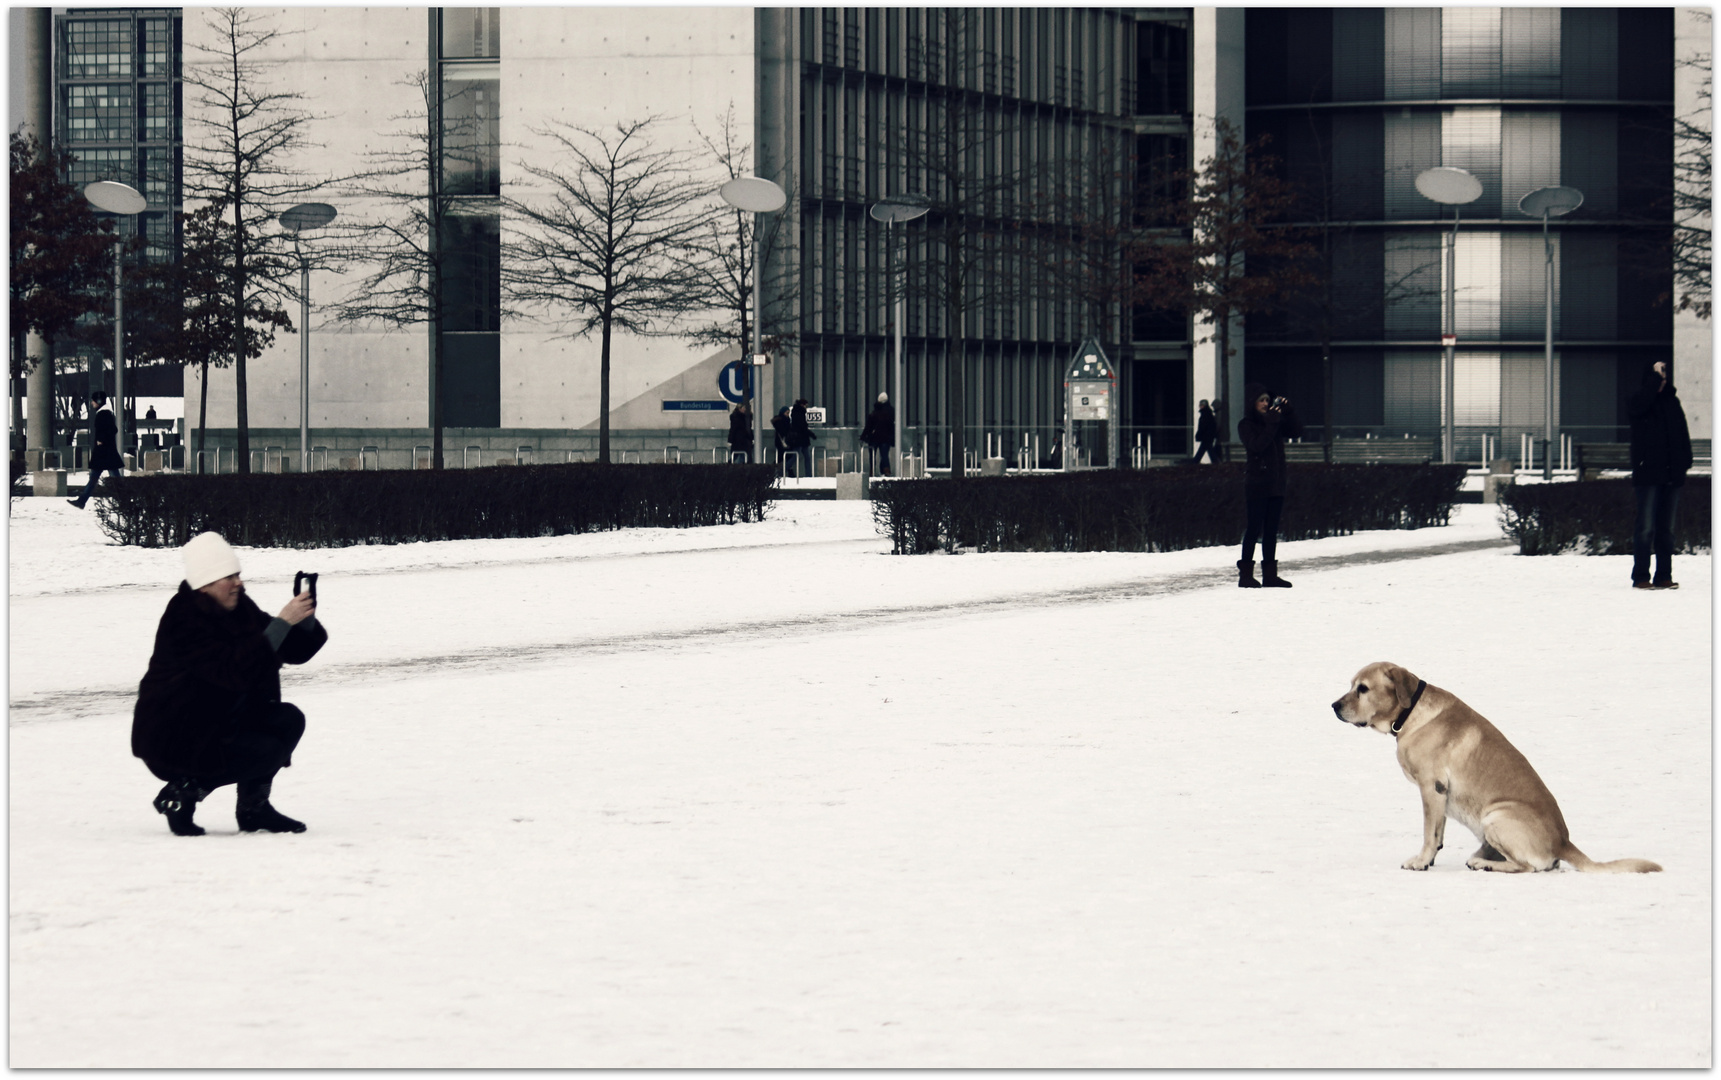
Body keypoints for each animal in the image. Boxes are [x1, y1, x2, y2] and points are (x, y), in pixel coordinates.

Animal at [1328, 663, 1652, 873]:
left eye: (1363, 689)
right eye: (1351, 685)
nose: (1334, 706)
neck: (1411, 714)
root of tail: (1564, 842)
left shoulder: (1432, 787)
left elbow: (1429, 833)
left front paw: (1420, 861)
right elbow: (1438, 833)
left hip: (1496, 816)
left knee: (1528, 867)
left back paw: (1483, 863)